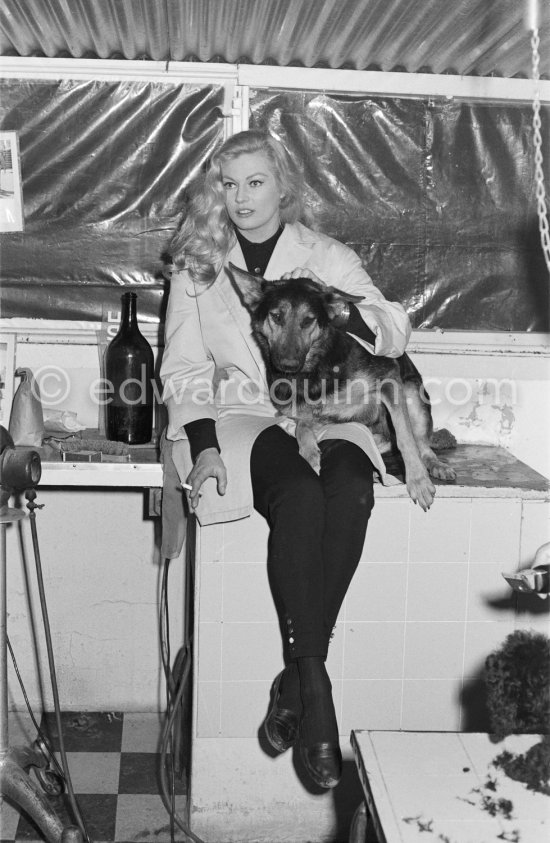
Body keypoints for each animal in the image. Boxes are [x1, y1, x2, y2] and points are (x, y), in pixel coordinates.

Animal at [229, 264, 458, 516]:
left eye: (308, 320)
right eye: (276, 316)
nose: (288, 365)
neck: (315, 367)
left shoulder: (389, 380)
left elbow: (405, 438)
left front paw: (418, 481)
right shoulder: (314, 414)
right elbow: (302, 427)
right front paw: (310, 454)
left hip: (411, 393)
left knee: (420, 443)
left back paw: (433, 464)